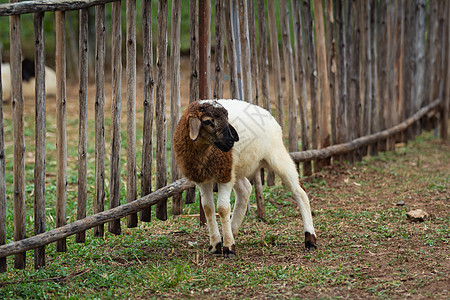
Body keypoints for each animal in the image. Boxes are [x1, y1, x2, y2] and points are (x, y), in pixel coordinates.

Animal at [172, 99, 316, 256]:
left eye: (227, 117)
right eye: (207, 121)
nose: (232, 141)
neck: (204, 152)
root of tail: (268, 115)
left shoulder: (225, 175)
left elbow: (222, 208)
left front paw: (228, 247)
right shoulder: (202, 179)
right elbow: (208, 208)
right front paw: (216, 244)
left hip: (276, 156)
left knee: (300, 192)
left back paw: (310, 239)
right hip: (238, 168)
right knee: (245, 190)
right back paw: (231, 231)